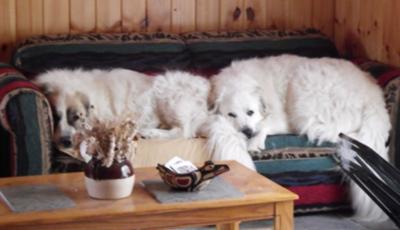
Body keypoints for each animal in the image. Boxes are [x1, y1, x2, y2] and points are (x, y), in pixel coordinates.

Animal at [34, 68, 209, 153]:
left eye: (76, 117)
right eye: (55, 118)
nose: (66, 141)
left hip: (168, 92)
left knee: (183, 131)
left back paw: (148, 132)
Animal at [209, 54, 390, 223]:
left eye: (250, 112)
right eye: (231, 115)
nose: (246, 131)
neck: (239, 80)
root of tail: (374, 97)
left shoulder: (282, 118)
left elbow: (264, 124)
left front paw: (255, 142)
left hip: (302, 91)